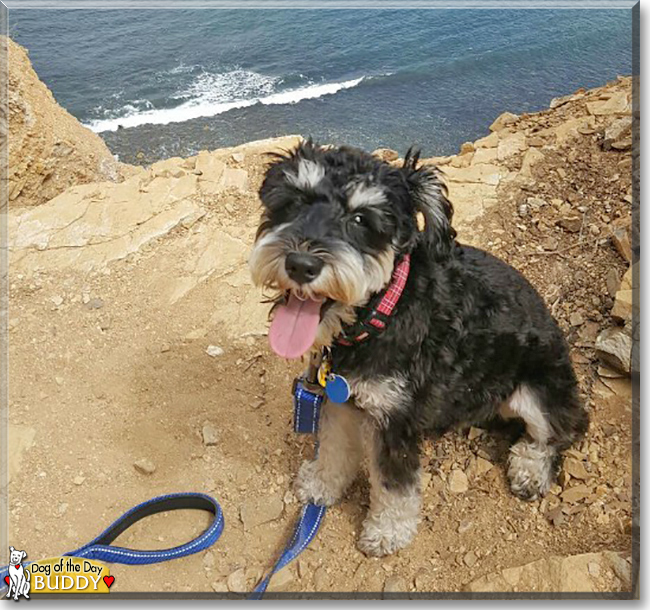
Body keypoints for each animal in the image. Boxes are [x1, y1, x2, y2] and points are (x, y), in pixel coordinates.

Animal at [248, 139, 588, 556]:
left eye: (361, 219)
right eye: (294, 201)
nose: (300, 264)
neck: (380, 314)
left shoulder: (396, 418)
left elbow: (394, 485)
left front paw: (387, 532)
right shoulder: (340, 399)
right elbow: (331, 446)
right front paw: (320, 485)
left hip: (539, 390)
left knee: (562, 430)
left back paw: (530, 469)